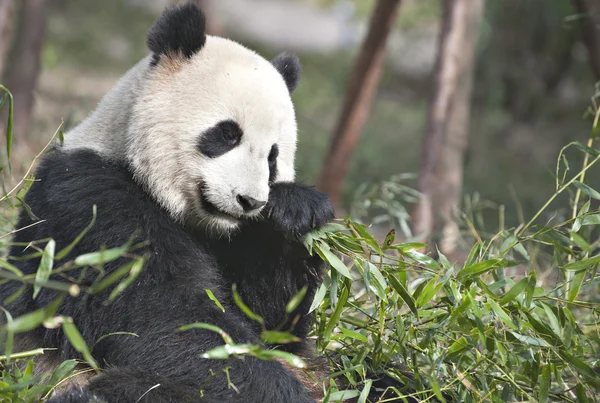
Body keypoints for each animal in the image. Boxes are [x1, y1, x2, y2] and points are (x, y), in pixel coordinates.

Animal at [3, 2, 332, 400]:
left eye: (272, 157)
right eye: (227, 135)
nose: (249, 201)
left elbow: (272, 325)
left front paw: (295, 211)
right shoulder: (93, 202)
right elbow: (164, 318)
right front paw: (280, 388)